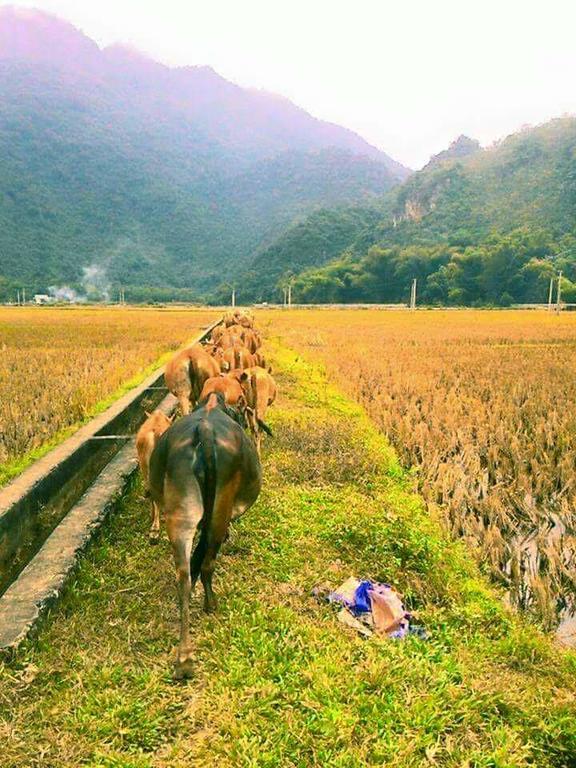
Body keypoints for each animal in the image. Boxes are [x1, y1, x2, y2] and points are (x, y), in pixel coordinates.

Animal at [151, 396, 264, 680]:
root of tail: (204, 429)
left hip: (182, 511)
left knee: (183, 575)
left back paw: (184, 659)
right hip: (218, 510)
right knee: (207, 563)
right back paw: (210, 604)